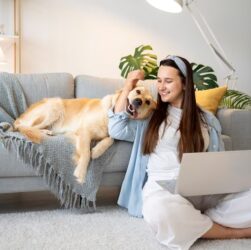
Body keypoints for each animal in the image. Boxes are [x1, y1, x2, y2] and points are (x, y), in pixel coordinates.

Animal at [14, 87, 157, 183]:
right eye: (138, 91)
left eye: (148, 102)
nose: (138, 101)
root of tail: (18, 118)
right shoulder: (84, 131)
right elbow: (86, 153)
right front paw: (81, 173)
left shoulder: (110, 133)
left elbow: (110, 139)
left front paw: (97, 151)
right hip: (55, 106)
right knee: (28, 127)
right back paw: (44, 132)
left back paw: (47, 132)